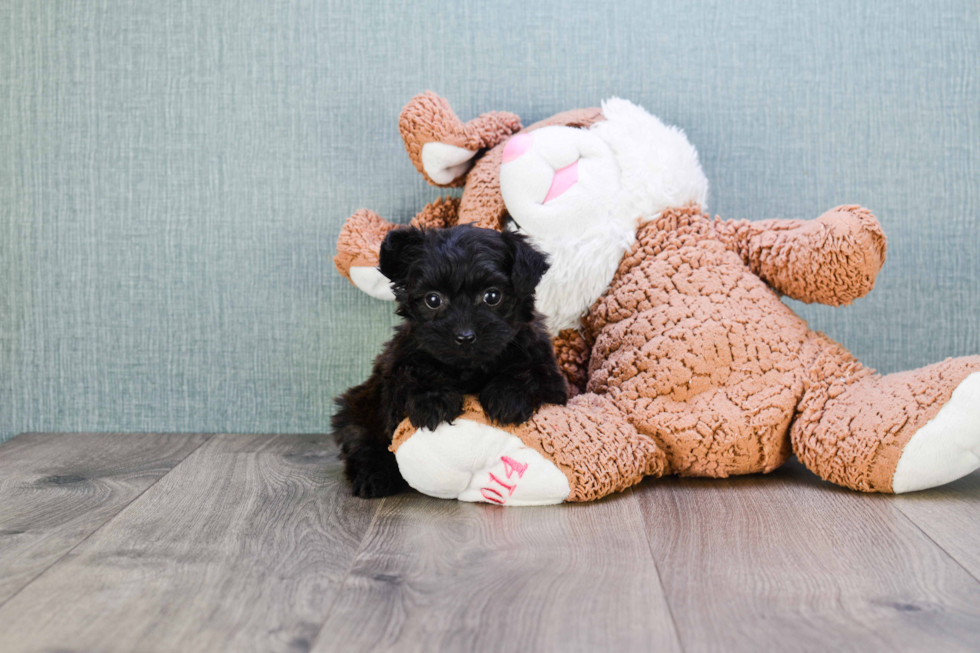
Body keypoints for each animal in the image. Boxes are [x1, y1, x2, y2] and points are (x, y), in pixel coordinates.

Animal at [334, 222, 572, 496]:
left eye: (492, 296)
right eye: (433, 299)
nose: (464, 336)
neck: (470, 369)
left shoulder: (550, 374)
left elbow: (530, 373)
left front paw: (507, 397)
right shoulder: (396, 368)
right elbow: (413, 373)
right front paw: (433, 401)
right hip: (359, 410)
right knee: (363, 444)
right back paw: (374, 477)